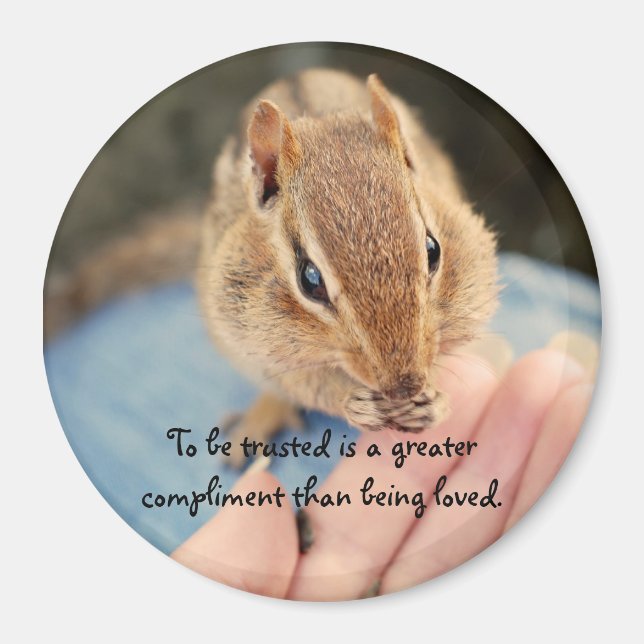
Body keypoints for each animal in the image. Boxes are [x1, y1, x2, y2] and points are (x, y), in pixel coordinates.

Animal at [196, 68, 498, 463]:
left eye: (432, 250)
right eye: (309, 279)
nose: (404, 387)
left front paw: (435, 401)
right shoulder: (249, 334)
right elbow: (301, 382)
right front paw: (353, 403)